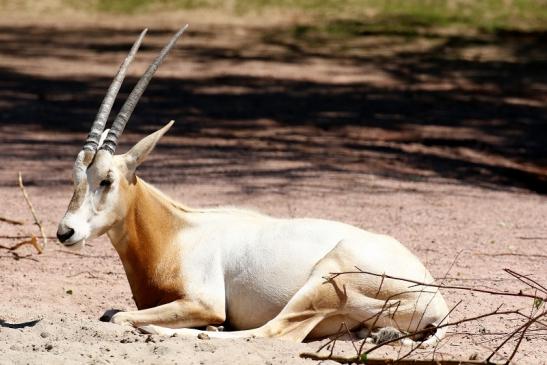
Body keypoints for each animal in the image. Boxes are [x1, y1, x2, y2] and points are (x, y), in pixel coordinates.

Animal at [56, 25, 450, 344]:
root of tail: (435, 301)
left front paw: (201, 326)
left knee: (270, 332)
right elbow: (111, 312)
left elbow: (117, 315)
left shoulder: (203, 301)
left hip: (327, 279)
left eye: (106, 180)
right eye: (75, 178)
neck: (175, 232)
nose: (65, 232)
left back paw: (187, 331)